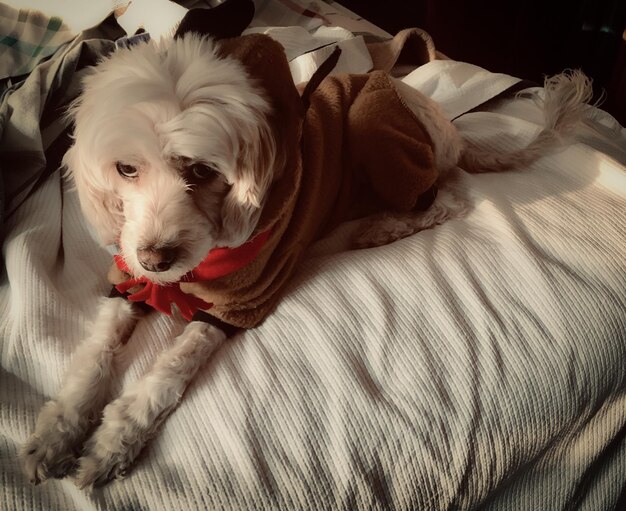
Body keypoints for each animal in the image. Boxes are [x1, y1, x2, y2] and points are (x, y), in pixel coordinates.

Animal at [20, 26, 588, 490]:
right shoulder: (127, 281)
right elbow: (95, 353)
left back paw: (381, 228)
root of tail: (449, 125)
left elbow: (168, 372)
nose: (158, 260)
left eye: (202, 170)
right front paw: (58, 432)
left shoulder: (239, 304)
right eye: (125, 168)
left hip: (377, 125)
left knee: (446, 200)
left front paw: (114, 441)